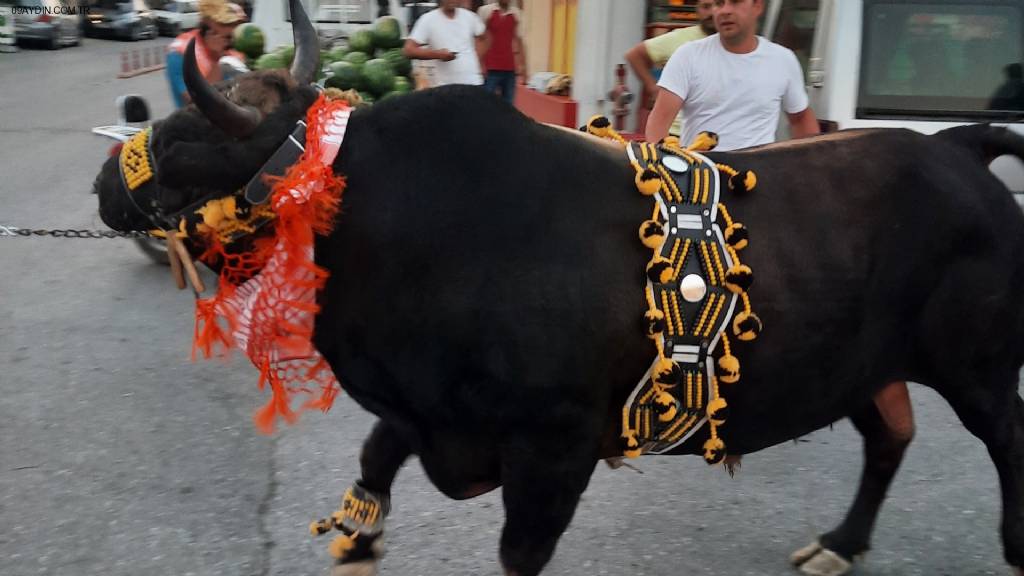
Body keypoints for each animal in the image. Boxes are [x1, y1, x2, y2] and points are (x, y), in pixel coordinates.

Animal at [92, 80, 1024, 573]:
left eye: (179, 142)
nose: (104, 180)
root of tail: (956, 147)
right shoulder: (433, 414)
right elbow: (375, 454)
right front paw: (359, 534)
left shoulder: (554, 446)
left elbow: (519, 549)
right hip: (866, 364)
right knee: (889, 437)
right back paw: (841, 541)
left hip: (978, 365)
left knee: (1003, 437)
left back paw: (1011, 543)